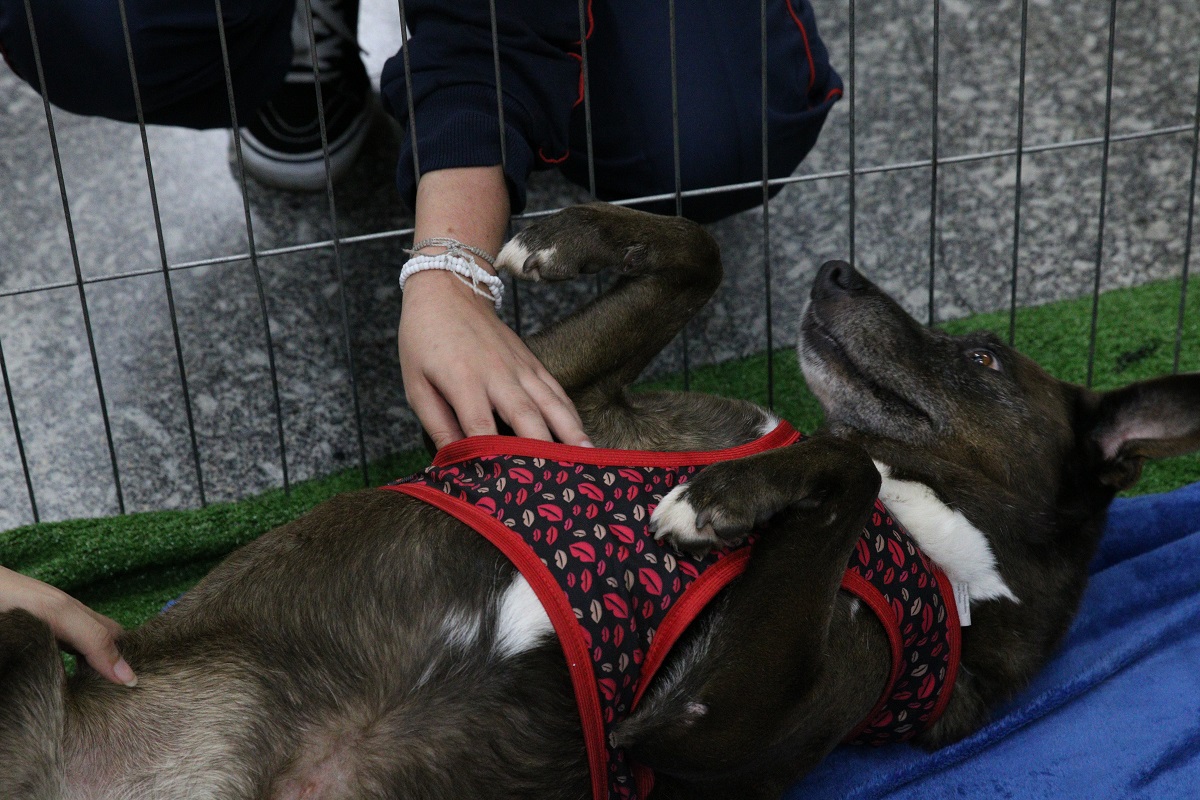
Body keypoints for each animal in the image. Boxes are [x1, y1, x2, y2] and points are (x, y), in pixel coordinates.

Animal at [2, 203, 1200, 796]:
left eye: (986, 358)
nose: (836, 275)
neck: (939, 542)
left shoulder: (695, 726)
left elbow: (842, 468)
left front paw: (724, 502)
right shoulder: (555, 396)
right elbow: (698, 252)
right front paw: (557, 234)